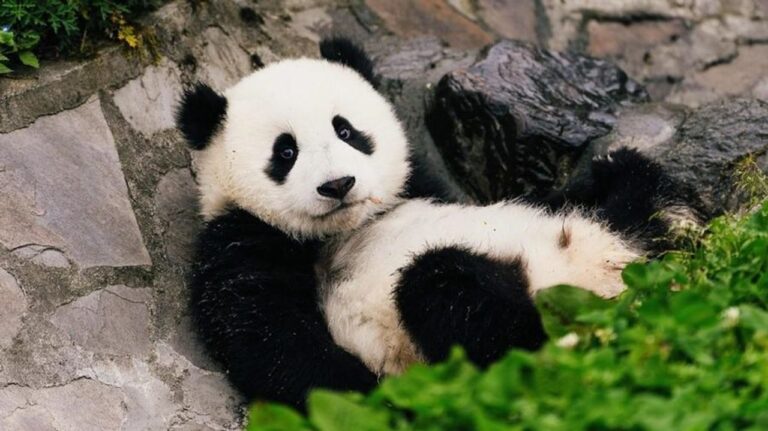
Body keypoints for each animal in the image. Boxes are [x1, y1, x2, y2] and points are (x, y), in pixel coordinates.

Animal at [177, 38, 690, 407]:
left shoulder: (421, 183)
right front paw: (370, 397)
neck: (348, 226)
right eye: (285, 151)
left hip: (612, 238)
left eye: (346, 130)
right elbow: (269, 338)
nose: (339, 184)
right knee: (445, 289)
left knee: (629, 193)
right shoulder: (241, 239)